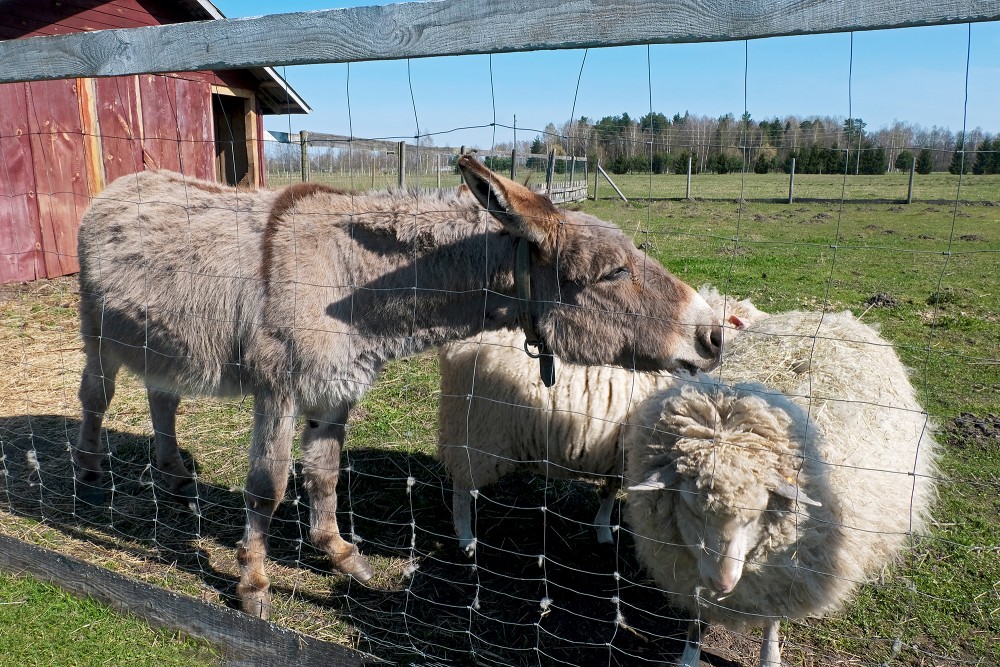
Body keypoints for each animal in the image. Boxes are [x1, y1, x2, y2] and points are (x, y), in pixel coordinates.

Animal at [440, 286, 764, 552]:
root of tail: (457, 347)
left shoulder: (617, 453)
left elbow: (608, 492)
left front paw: (603, 529)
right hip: (477, 433)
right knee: (461, 487)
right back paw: (466, 537)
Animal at [624, 312, 936, 667]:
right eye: (690, 508)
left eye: (756, 514)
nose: (723, 581)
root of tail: (831, 314)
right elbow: (699, 613)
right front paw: (690, 654)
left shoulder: (783, 571)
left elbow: (772, 618)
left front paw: (770, 655)